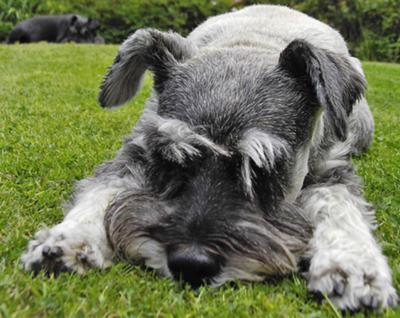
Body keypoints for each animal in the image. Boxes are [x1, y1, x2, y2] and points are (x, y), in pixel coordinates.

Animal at [21, 4, 396, 312]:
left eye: (261, 169)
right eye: (169, 159)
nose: (191, 263)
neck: (247, 45)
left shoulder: (331, 167)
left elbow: (340, 205)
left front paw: (353, 266)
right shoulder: (137, 147)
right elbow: (104, 189)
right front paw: (69, 238)